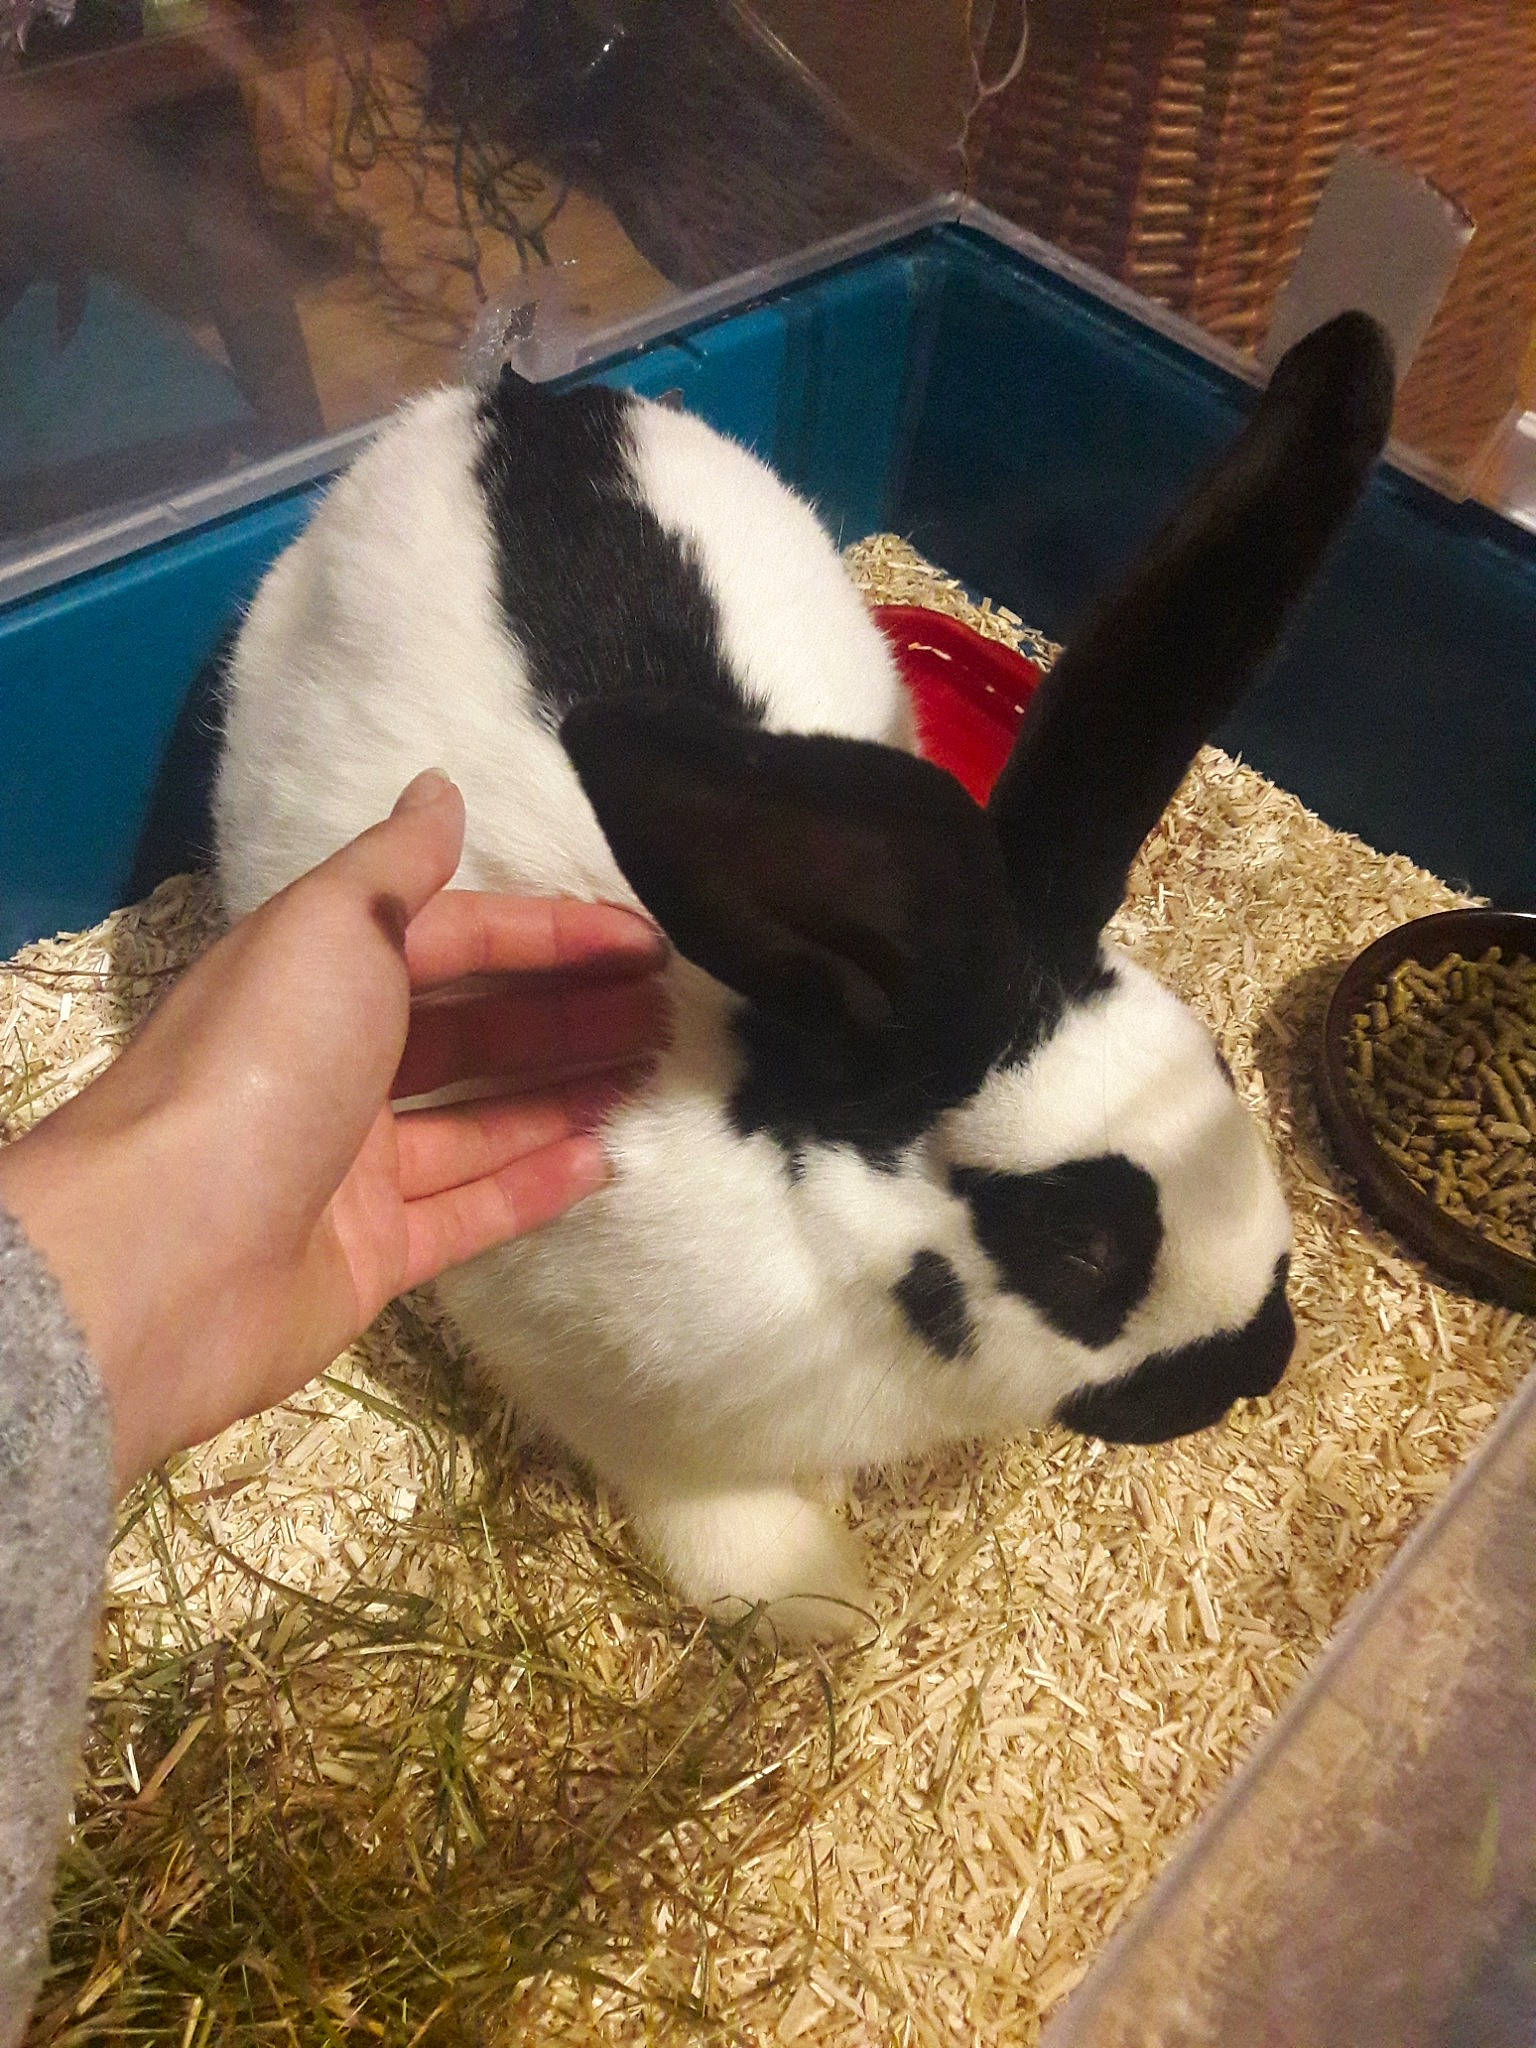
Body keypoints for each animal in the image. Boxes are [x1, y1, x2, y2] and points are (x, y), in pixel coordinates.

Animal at [212, 308, 1395, 1639]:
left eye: (1228, 1083)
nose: (1261, 1361)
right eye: (1079, 1247)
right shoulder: (613, 1397)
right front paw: (823, 1601)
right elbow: (710, 1509)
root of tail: (508, 403)